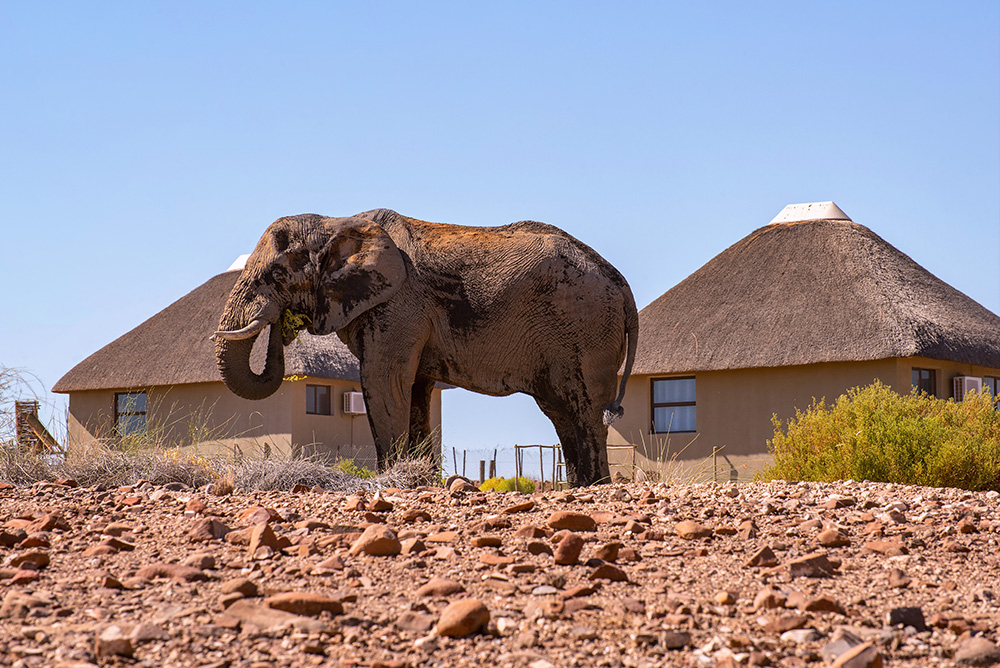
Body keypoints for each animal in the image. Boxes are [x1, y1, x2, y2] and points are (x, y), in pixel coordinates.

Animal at [212, 209, 638, 486]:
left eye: (275, 274)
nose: (282, 325)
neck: (335, 221)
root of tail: (621, 283)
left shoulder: (399, 304)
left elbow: (383, 381)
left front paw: (393, 478)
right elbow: (415, 389)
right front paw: (419, 477)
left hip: (585, 326)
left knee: (584, 409)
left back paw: (596, 486)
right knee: (562, 411)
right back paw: (581, 486)